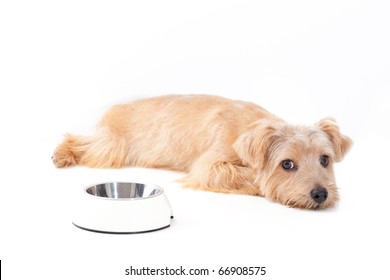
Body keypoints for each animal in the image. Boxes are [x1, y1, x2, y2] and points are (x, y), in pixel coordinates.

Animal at [51, 95, 350, 209]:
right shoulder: (209, 167)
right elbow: (244, 175)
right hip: (112, 147)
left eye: (325, 159)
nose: (320, 194)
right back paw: (62, 154)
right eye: (287, 164)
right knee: (80, 141)